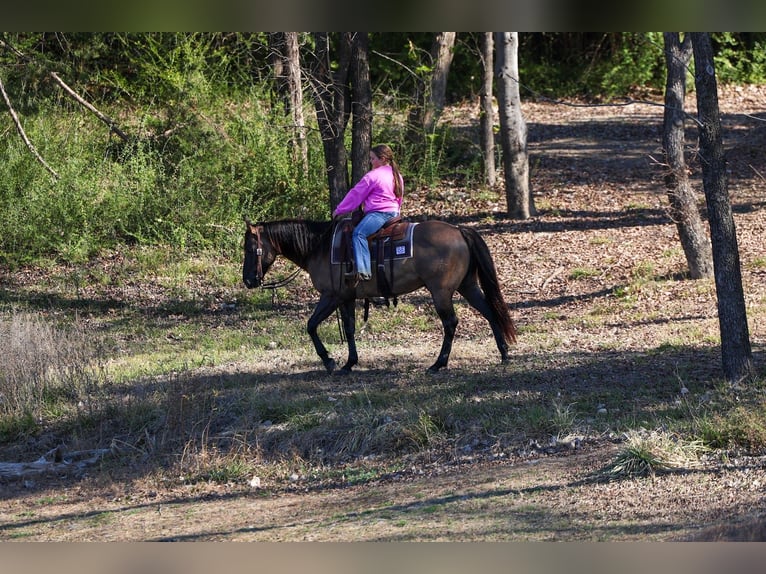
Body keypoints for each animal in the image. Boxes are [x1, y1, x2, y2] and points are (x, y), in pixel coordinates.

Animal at [242, 218, 516, 374]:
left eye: (250, 248)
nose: (248, 280)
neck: (318, 247)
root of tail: (459, 230)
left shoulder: (331, 296)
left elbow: (311, 325)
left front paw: (329, 361)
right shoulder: (346, 298)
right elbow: (349, 329)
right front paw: (349, 363)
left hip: (441, 292)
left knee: (450, 323)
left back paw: (439, 363)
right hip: (467, 286)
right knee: (490, 311)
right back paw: (503, 354)